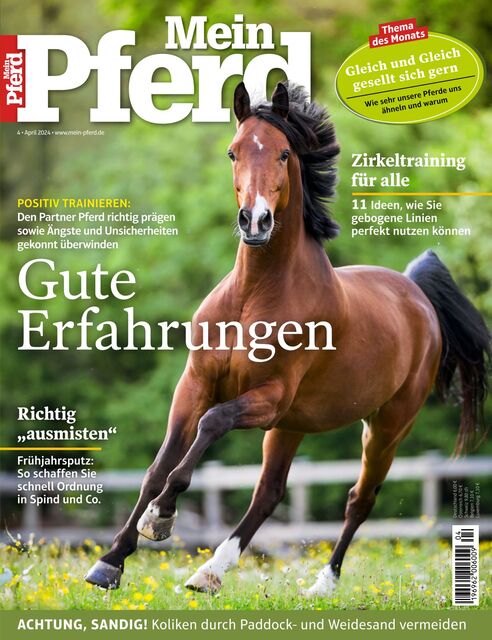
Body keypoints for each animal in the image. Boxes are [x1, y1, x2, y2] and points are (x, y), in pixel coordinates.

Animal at [85, 81, 490, 597]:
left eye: (282, 153)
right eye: (233, 152)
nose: (254, 222)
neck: (253, 297)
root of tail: (416, 292)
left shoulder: (269, 398)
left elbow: (212, 423)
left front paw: (161, 518)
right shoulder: (195, 384)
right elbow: (159, 466)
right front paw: (110, 562)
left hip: (384, 425)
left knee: (360, 499)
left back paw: (321, 584)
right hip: (295, 424)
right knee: (270, 492)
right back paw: (209, 573)